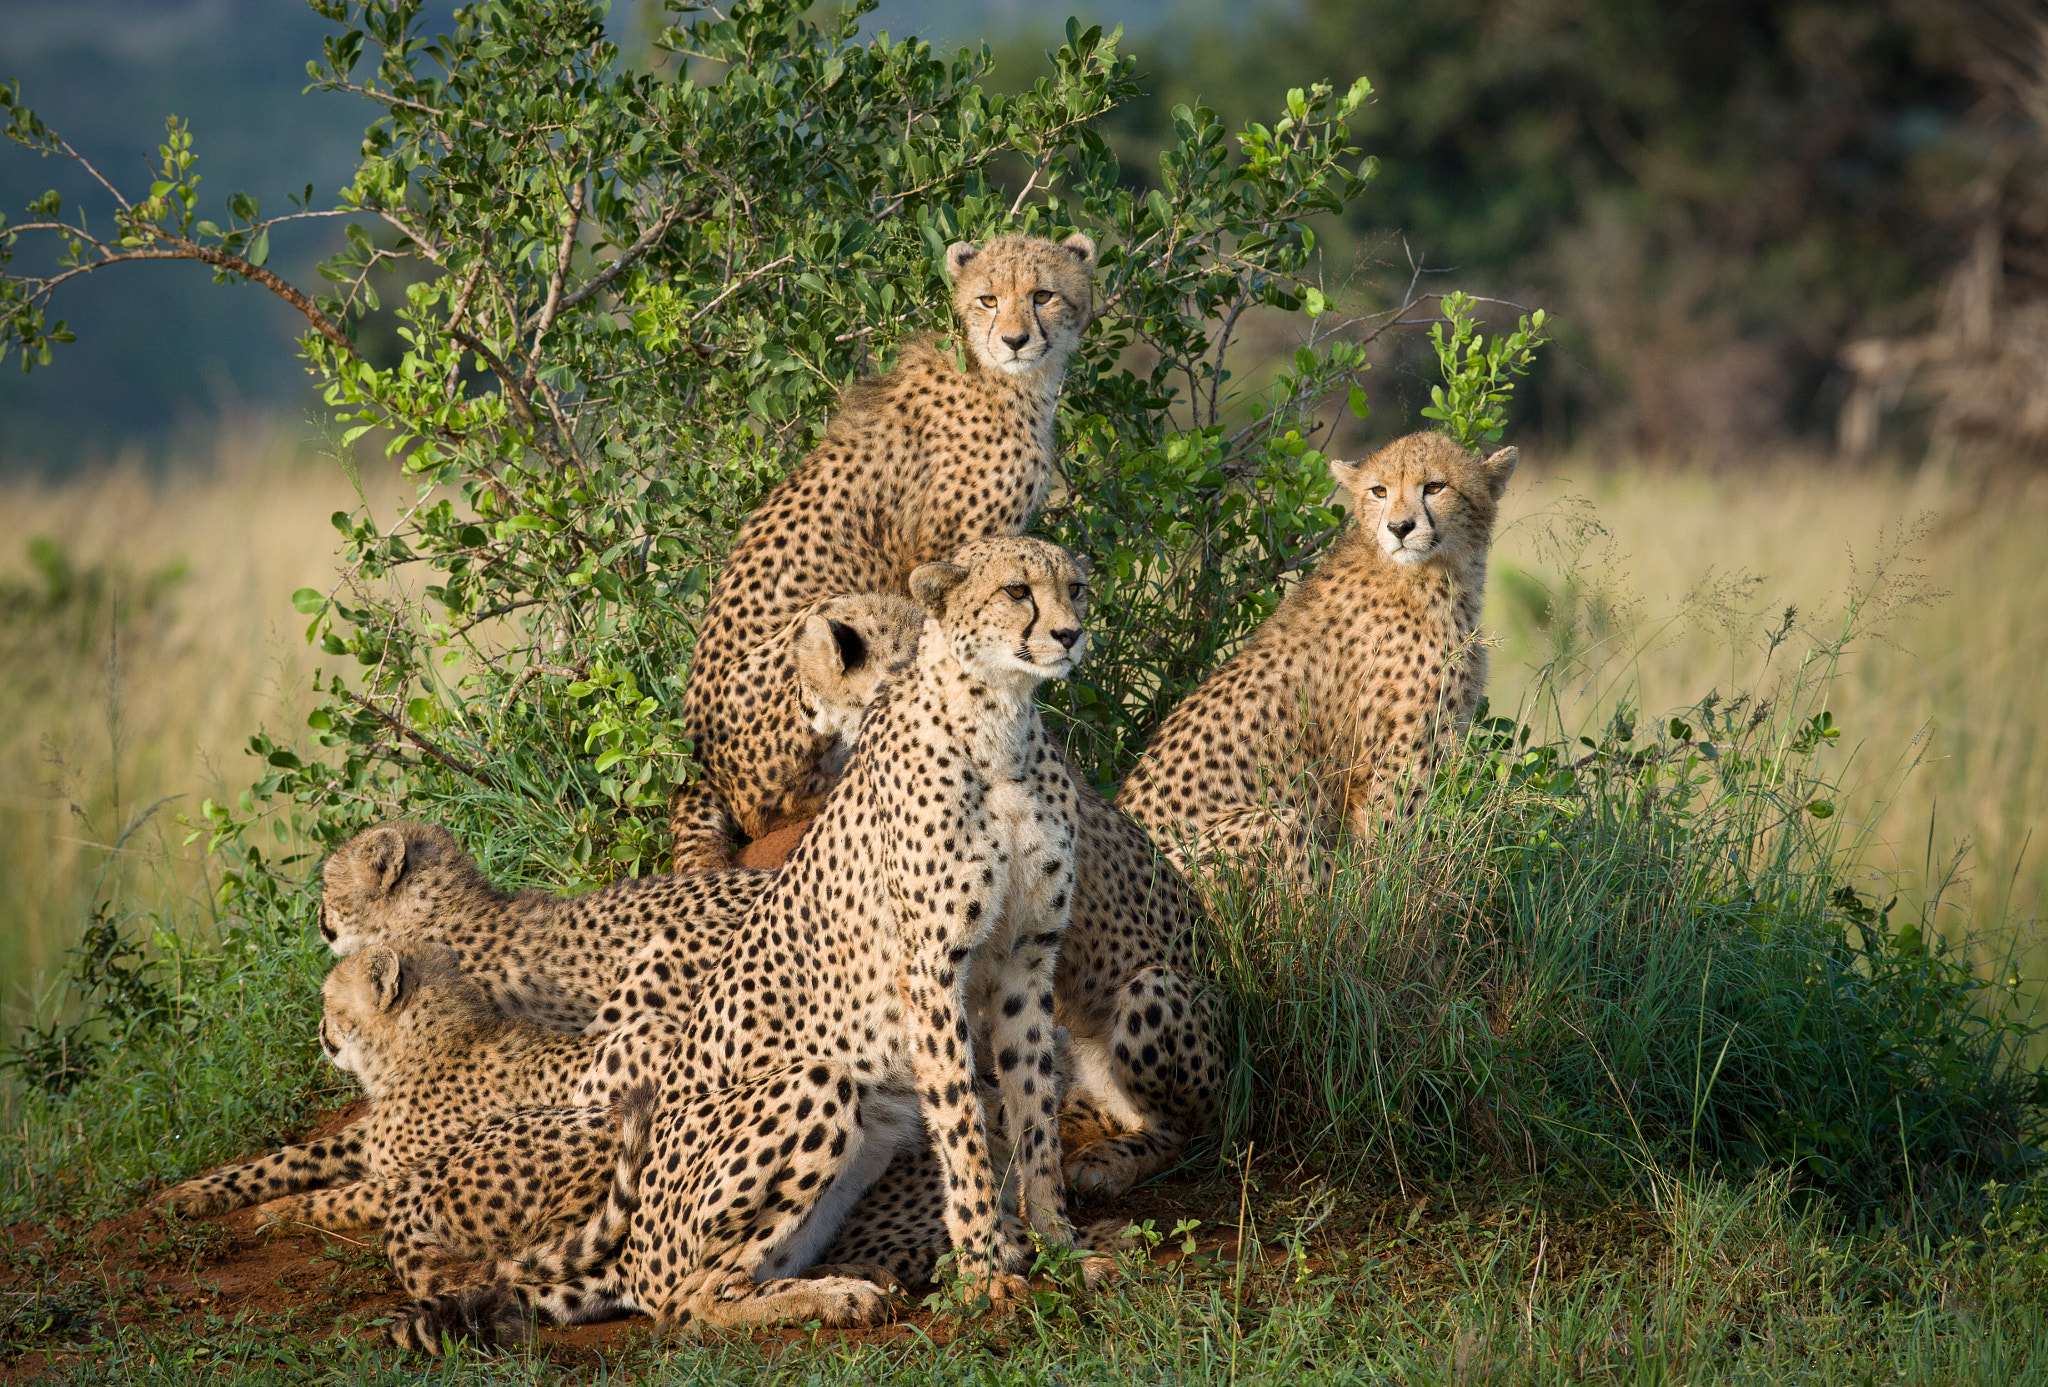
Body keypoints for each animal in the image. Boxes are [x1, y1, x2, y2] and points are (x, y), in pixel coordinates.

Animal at [1114, 428, 1515, 880]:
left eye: (1434, 487)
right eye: (1379, 490)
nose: (1399, 528)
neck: (1434, 574)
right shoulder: (1394, 764)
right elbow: (1390, 857)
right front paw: (1402, 890)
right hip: (1273, 824)